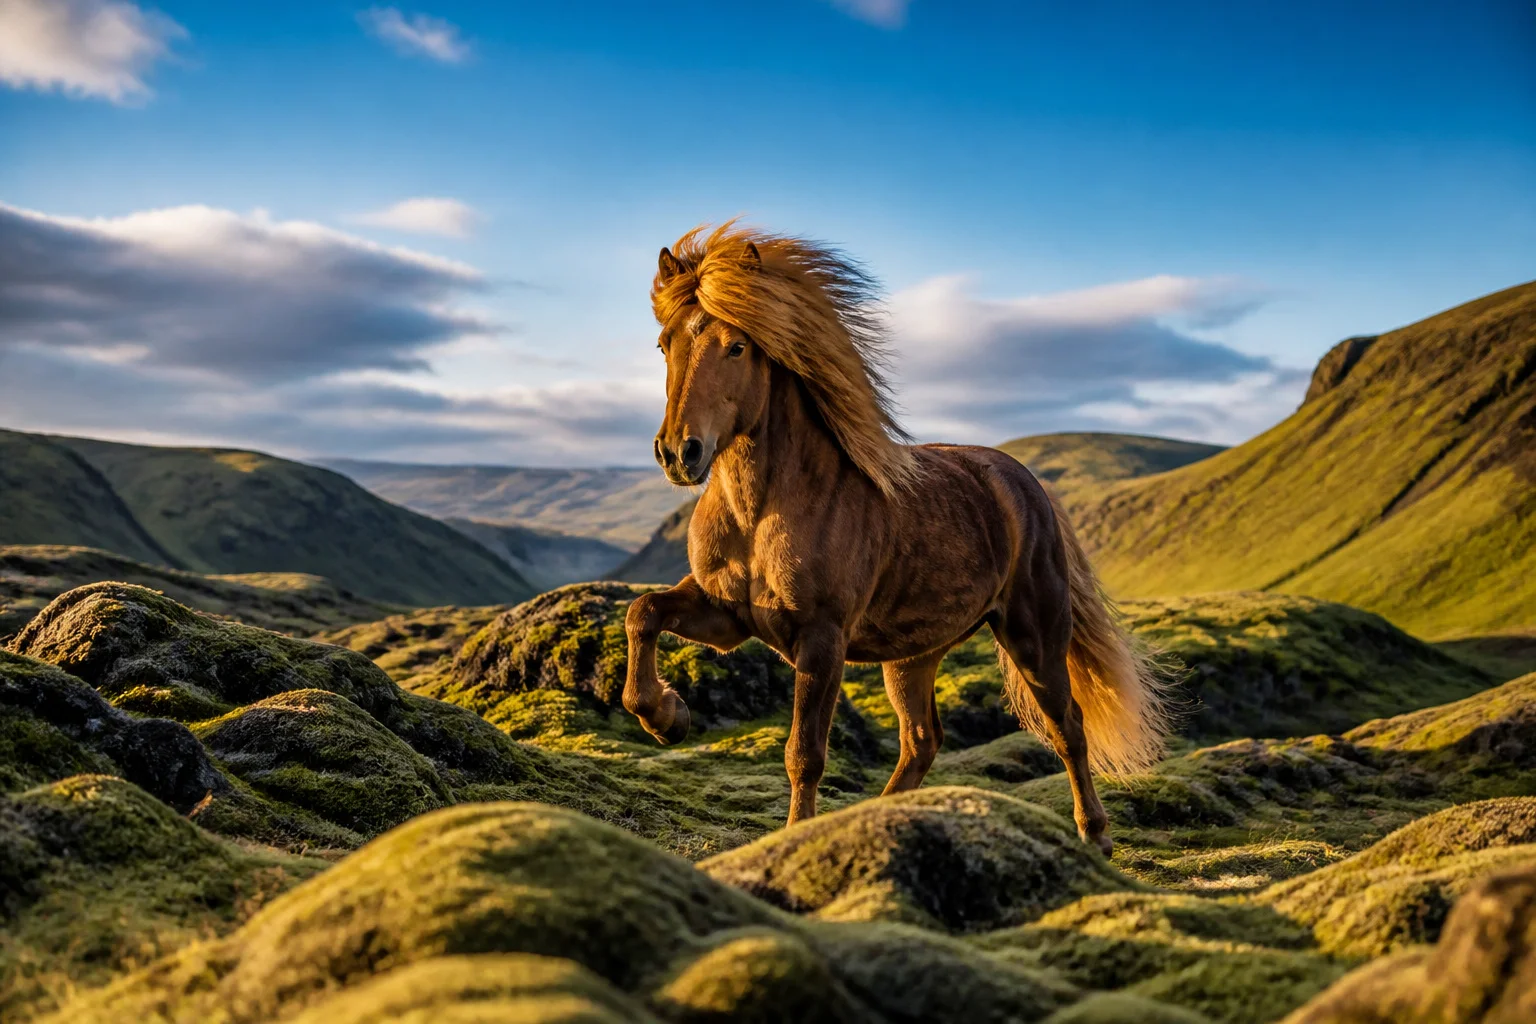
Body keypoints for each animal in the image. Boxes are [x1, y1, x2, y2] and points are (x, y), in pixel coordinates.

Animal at [622, 222, 1169, 853]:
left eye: (737, 346)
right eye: (665, 345)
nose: (678, 453)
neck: (761, 512)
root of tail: (1024, 481)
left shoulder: (822, 639)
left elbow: (804, 754)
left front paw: (797, 835)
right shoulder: (727, 616)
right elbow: (642, 612)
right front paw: (667, 716)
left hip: (1033, 635)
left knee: (1068, 727)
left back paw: (1095, 836)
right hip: (913, 655)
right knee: (922, 740)